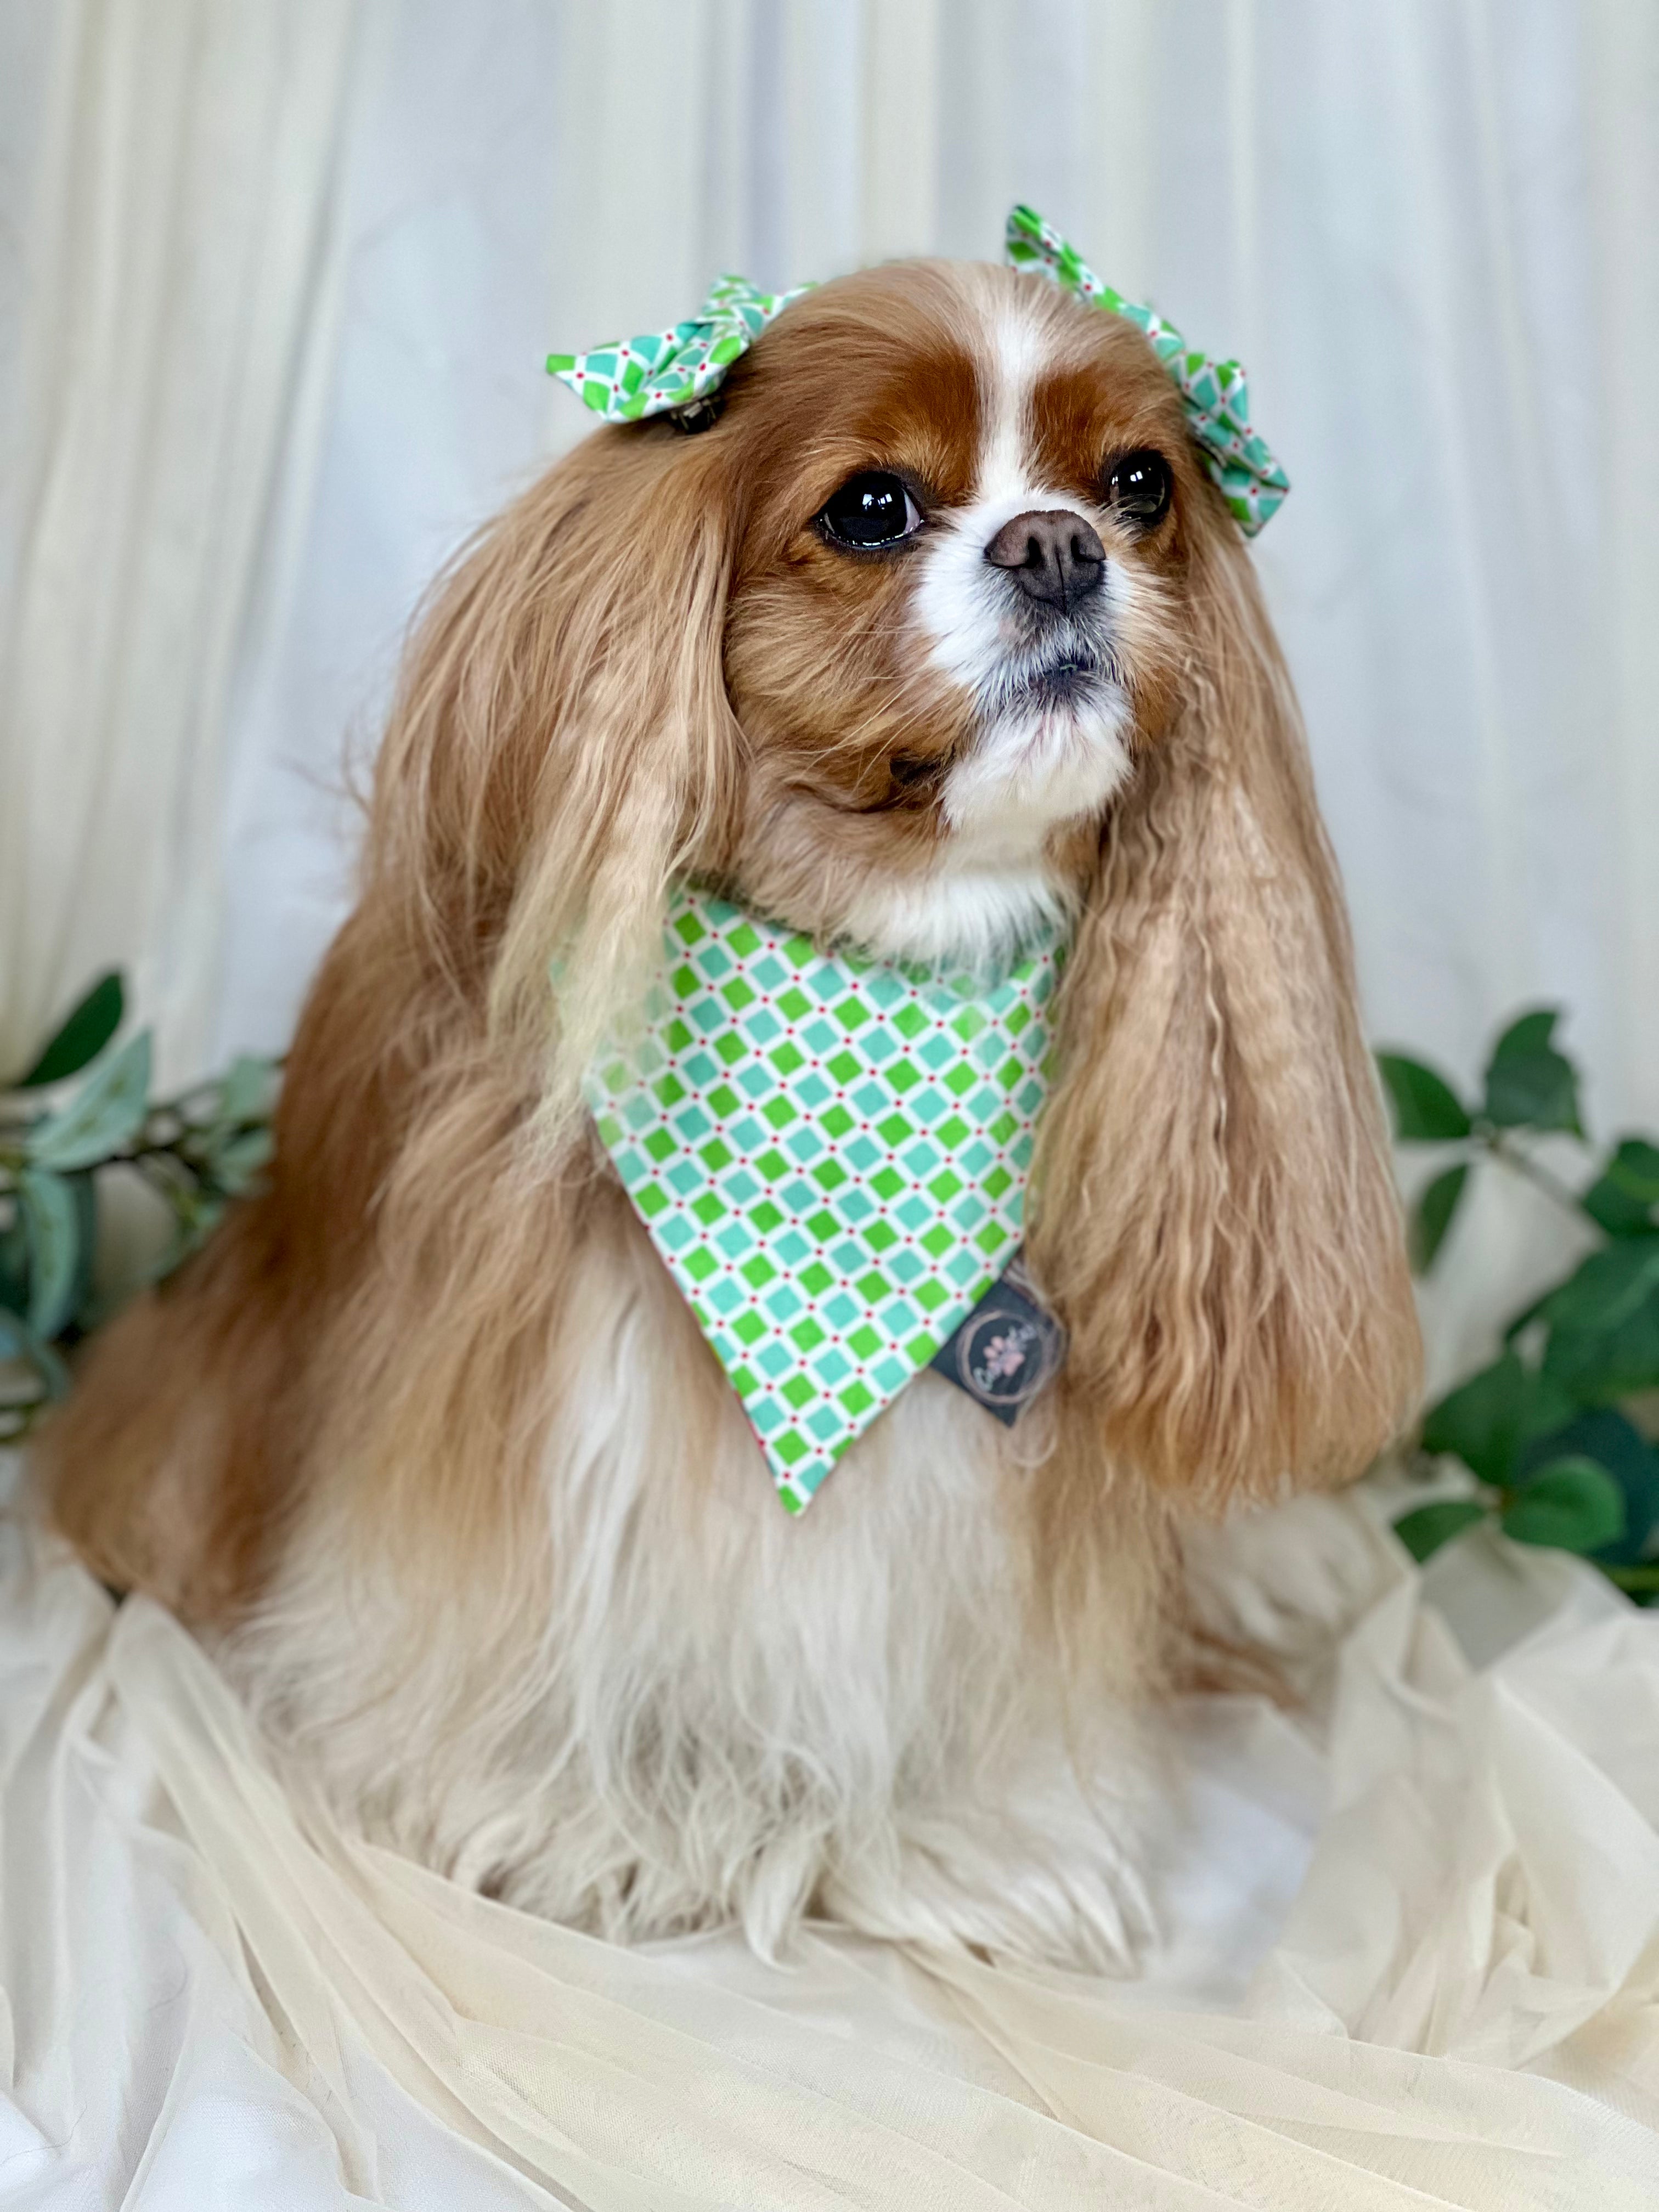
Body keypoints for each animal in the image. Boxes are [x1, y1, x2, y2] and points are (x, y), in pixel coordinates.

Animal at [39, 251, 1424, 1964]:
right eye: (875, 507)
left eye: (1140, 484)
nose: (1057, 545)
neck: (878, 973)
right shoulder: (530, 1404)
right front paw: (566, 1815)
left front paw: (973, 1832)